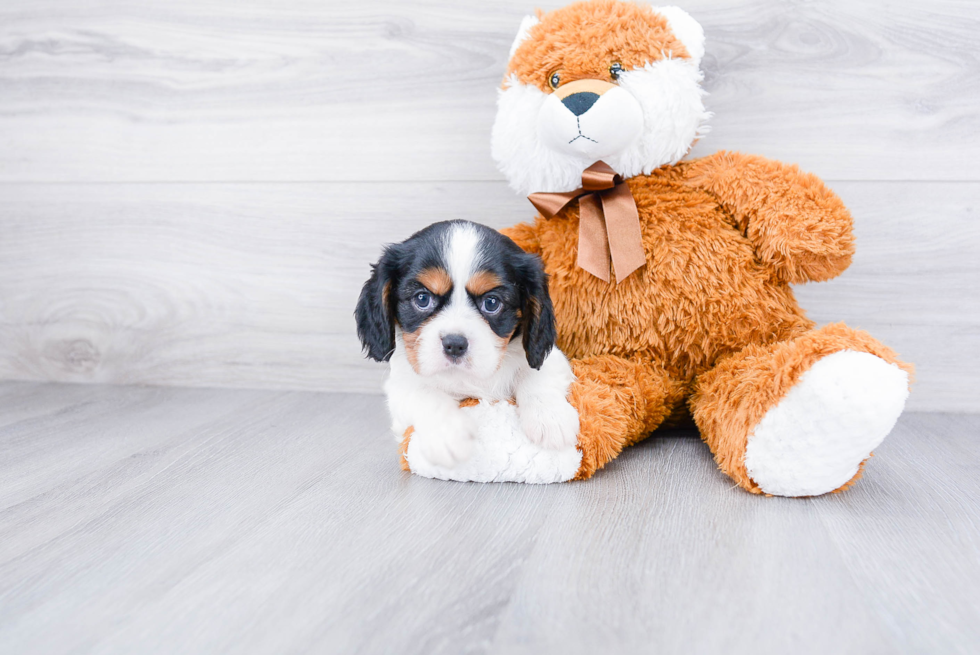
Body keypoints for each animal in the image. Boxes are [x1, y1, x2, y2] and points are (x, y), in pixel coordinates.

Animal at [356, 220, 580, 466]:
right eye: (422, 299)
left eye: (491, 303)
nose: (454, 344)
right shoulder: (399, 387)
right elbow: (423, 393)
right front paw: (448, 435)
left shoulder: (551, 358)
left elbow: (537, 374)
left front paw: (550, 418)